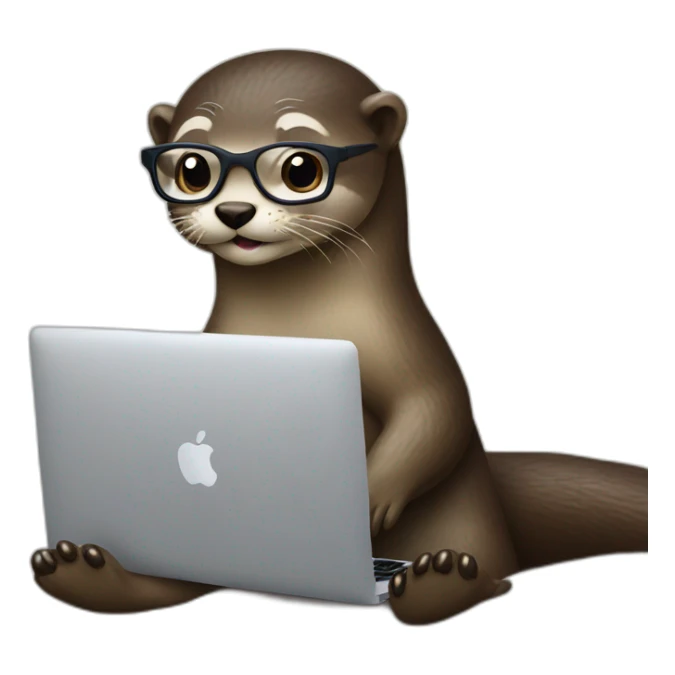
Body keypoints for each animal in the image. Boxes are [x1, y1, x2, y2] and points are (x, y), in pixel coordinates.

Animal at [30, 50, 647, 624]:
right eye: (192, 168)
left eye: (300, 167)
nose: (234, 208)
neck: (296, 323)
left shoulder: (414, 350)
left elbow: (435, 410)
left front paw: (369, 496)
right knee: (175, 579)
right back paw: (89, 571)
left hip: (469, 523)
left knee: (488, 572)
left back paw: (441, 579)